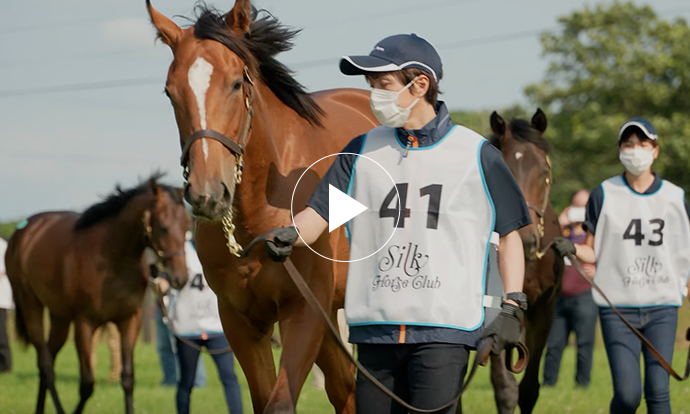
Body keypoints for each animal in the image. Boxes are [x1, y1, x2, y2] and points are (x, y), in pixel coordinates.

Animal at [5, 175, 189, 414]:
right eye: (164, 227)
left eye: (187, 225)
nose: (180, 279)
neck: (112, 259)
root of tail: (23, 230)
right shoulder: (85, 323)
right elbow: (87, 384)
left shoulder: (129, 320)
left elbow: (128, 379)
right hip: (30, 305)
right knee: (45, 365)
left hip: (60, 316)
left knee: (49, 359)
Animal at [146, 0, 378, 412]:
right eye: (171, 92)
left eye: (236, 83)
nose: (207, 193)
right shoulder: (241, 322)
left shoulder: (303, 312)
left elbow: (280, 402)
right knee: (345, 390)